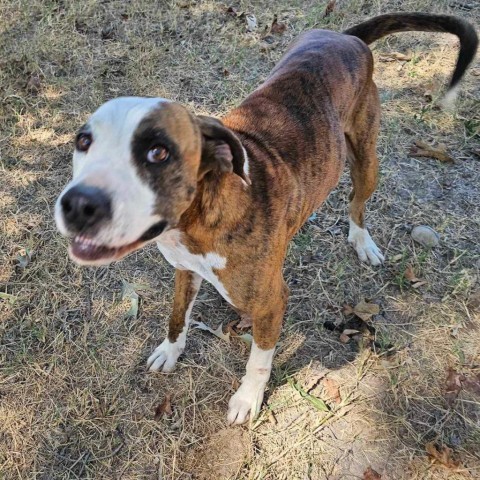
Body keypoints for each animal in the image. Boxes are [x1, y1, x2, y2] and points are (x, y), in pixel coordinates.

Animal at [55, 13, 476, 424]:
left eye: (158, 152)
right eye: (84, 141)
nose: (78, 205)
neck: (201, 218)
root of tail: (347, 38)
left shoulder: (272, 303)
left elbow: (259, 359)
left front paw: (247, 399)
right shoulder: (185, 271)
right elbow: (177, 316)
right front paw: (171, 351)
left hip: (366, 158)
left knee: (357, 202)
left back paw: (362, 241)